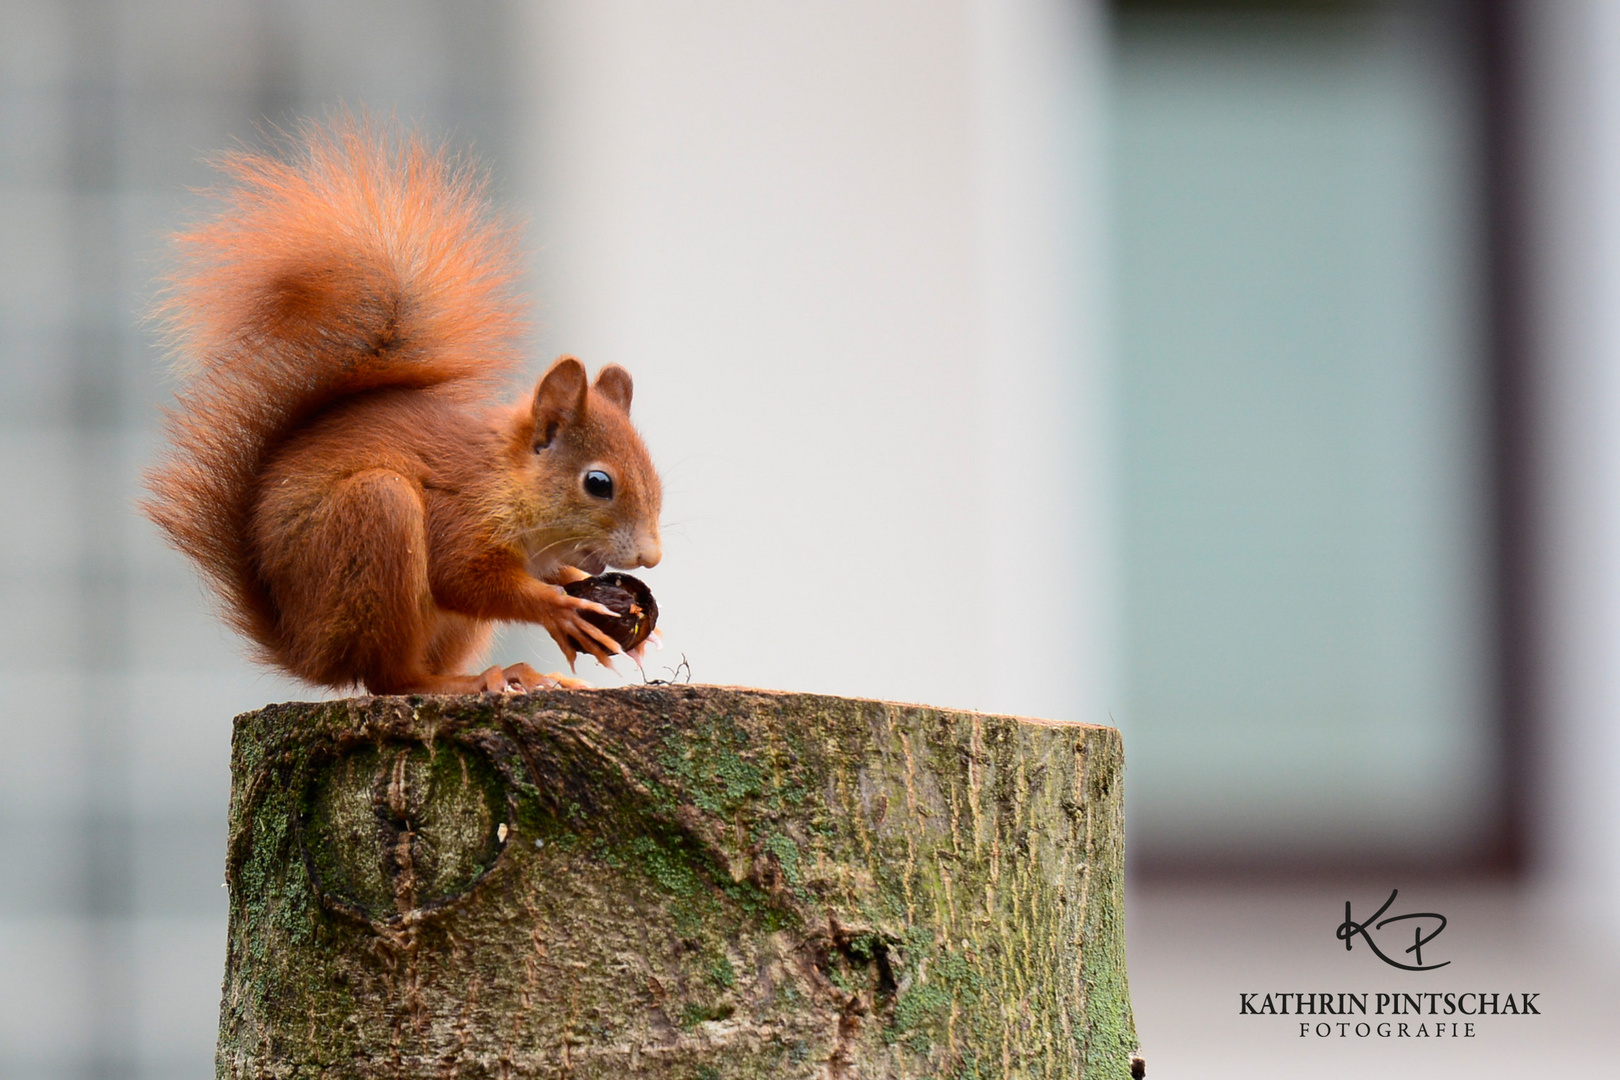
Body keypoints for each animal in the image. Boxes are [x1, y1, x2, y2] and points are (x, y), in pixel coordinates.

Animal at [142, 118, 660, 693]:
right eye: (598, 483)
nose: (651, 557)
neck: (508, 479)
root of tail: (306, 652)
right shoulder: (462, 512)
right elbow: (463, 579)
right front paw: (561, 609)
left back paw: (517, 672)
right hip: (377, 522)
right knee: (392, 677)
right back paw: (460, 683)